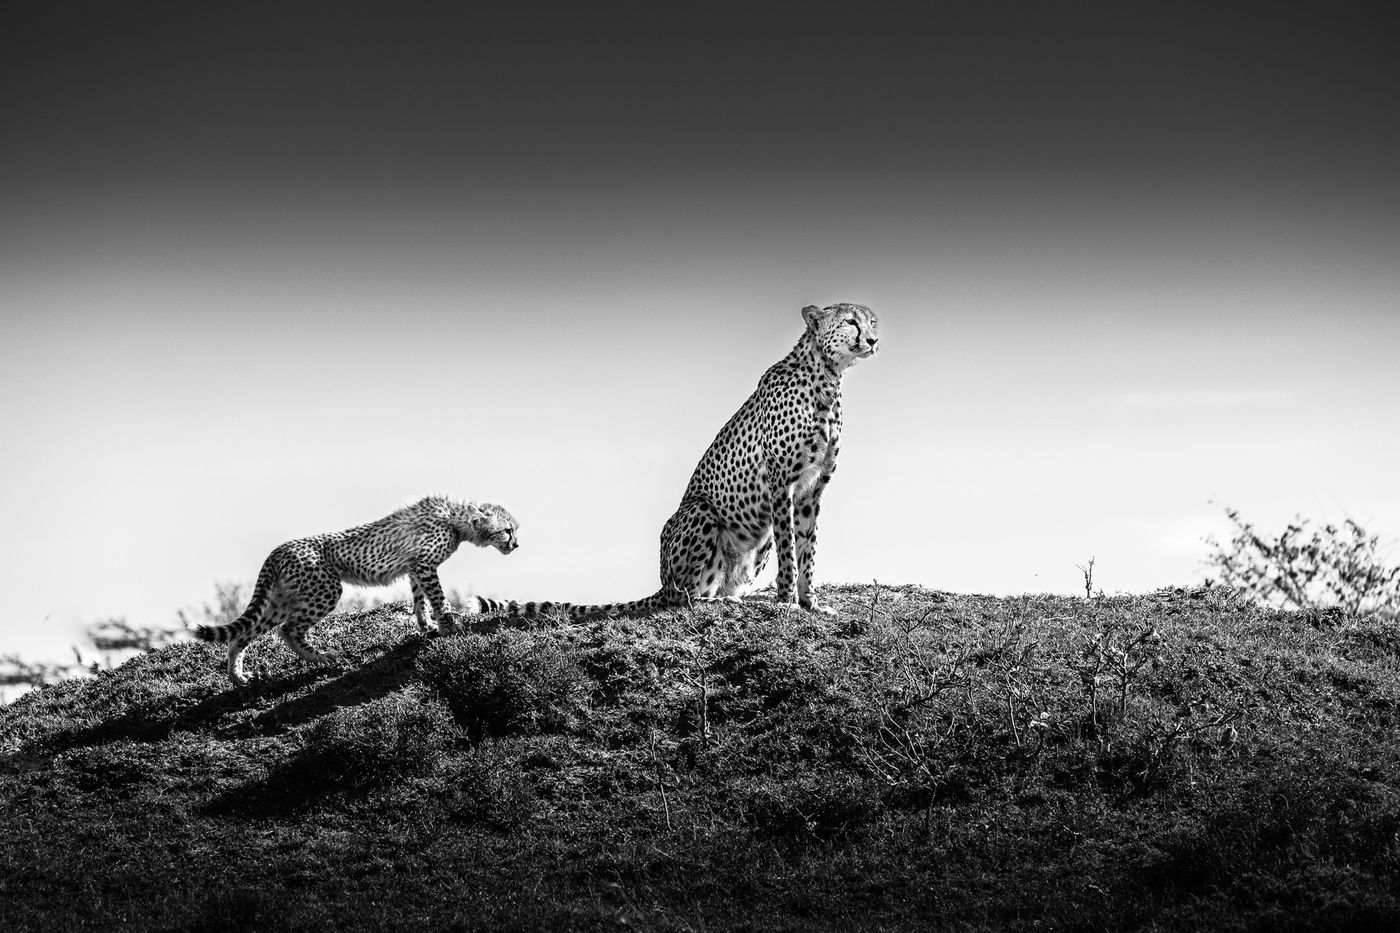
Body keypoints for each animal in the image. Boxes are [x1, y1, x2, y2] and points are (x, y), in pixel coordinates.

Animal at [194, 493, 523, 683]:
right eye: (507, 530)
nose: (517, 545)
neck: (455, 518)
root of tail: (278, 550)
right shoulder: (424, 564)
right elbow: (439, 599)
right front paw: (449, 627)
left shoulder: (415, 567)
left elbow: (420, 599)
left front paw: (426, 625)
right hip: (325, 590)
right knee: (288, 629)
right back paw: (322, 657)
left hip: (280, 599)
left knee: (244, 634)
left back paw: (237, 677)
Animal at [476, 303, 879, 616]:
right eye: (849, 321)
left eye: (872, 321)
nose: (874, 340)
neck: (827, 376)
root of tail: (662, 581)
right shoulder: (781, 481)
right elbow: (790, 550)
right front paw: (787, 602)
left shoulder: (812, 489)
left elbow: (808, 548)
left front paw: (810, 603)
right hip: (701, 512)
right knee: (685, 597)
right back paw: (714, 603)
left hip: (754, 539)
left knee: (717, 585)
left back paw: (734, 599)